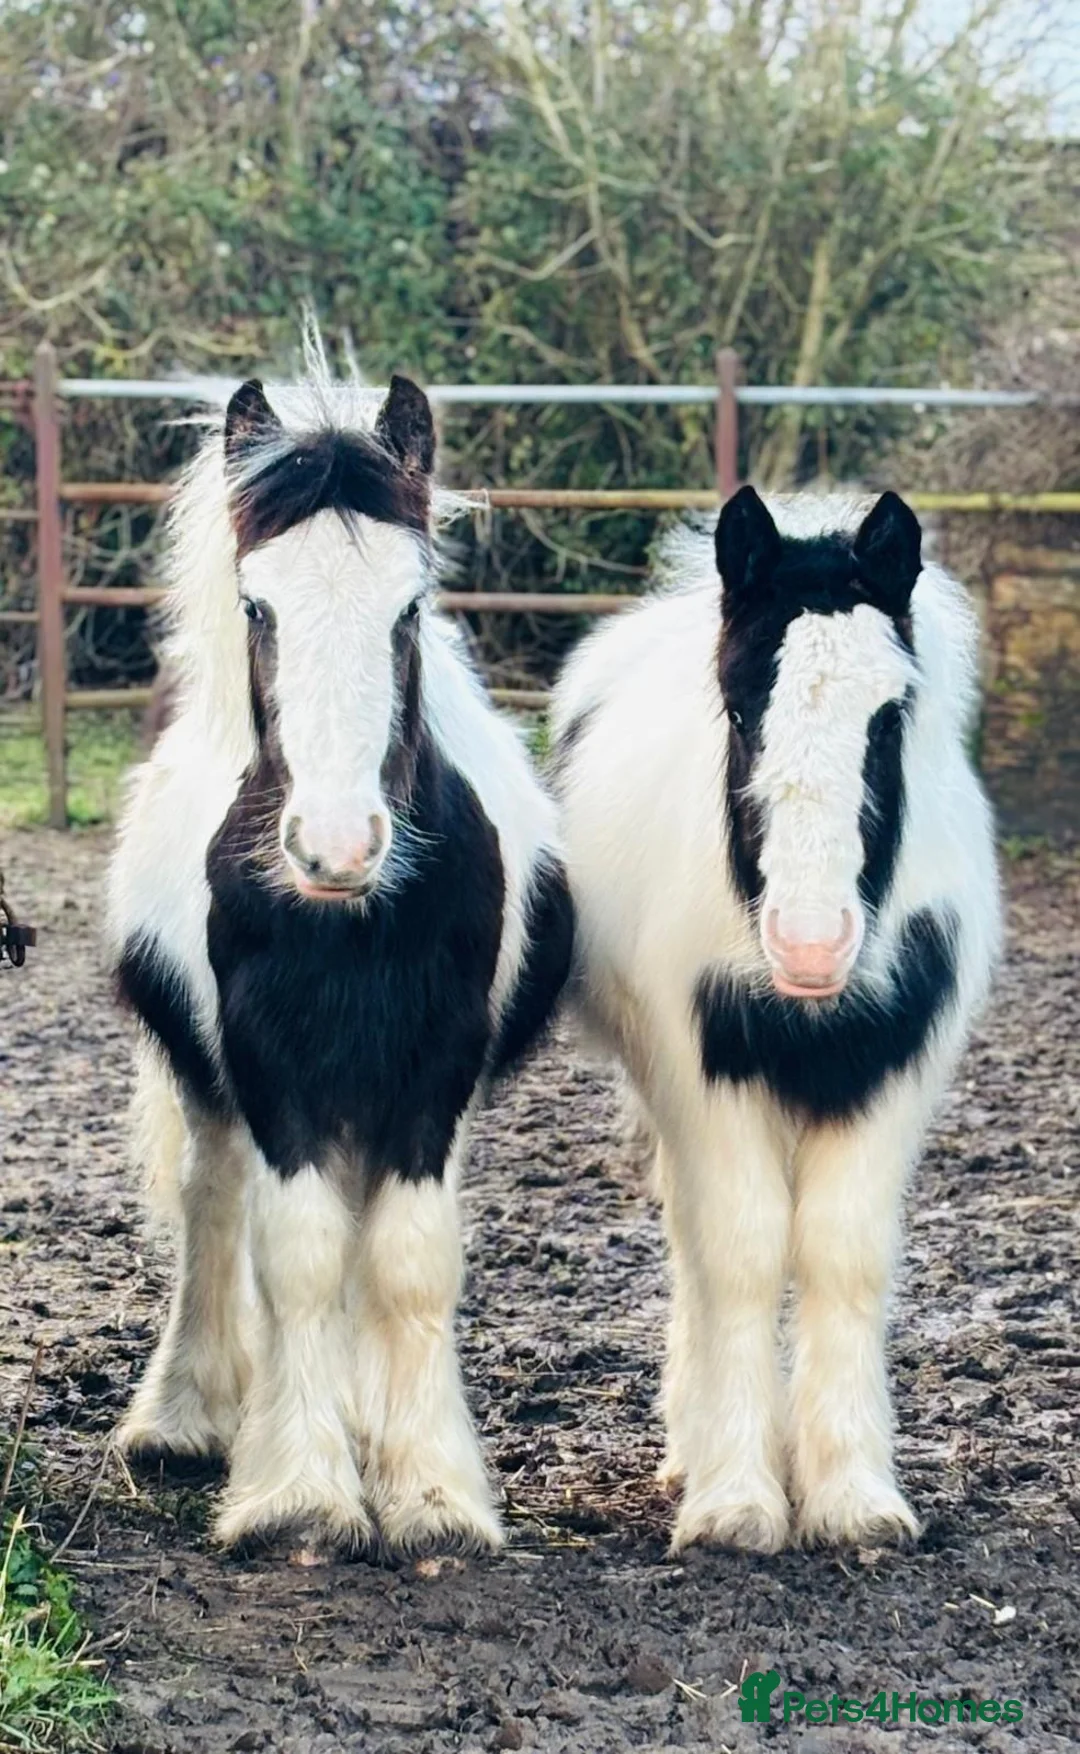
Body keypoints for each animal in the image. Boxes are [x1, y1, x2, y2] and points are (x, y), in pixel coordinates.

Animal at [108, 354, 573, 1554]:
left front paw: (432, 1494)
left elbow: (406, 1263)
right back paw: (188, 1414)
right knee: (213, 1206)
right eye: (256, 604)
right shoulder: (270, 1069)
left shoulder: (436, 1069)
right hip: (210, 1084)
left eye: (410, 606)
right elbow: (300, 1256)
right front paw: (300, 1495)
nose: (336, 845)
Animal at [550, 485, 1001, 1553]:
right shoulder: (703, 1076)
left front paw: (852, 1495)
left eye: (891, 717)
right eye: (739, 705)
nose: (809, 942)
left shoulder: (893, 1074)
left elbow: (842, 1253)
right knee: (694, 1239)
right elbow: (743, 1254)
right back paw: (692, 1449)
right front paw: (737, 1499)